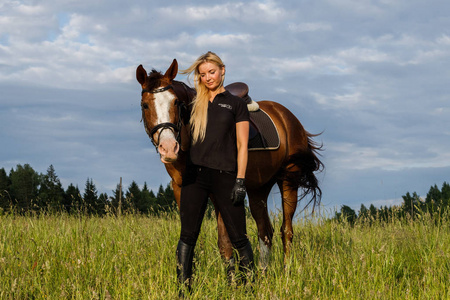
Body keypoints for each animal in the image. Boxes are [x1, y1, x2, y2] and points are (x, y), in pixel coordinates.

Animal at [136, 58, 324, 268]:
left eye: (176, 102)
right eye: (145, 105)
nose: (168, 148)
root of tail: (288, 117)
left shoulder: (219, 192)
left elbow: (225, 242)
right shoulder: (180, 188)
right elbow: (192, 234)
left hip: (289, 180)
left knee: (286, 230)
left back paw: (287, 271)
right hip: (258, 188)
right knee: (265, 231)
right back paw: (263, 272)